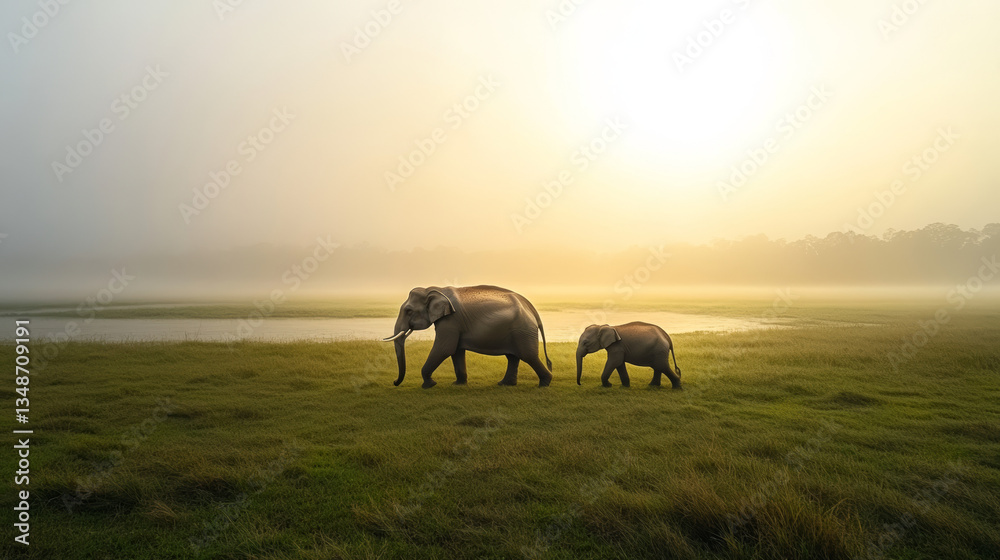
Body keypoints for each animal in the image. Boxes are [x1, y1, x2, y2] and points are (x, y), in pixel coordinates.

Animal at [382, 285, 553, 389]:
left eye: (409, 311)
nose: (394, 382)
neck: (435, 289)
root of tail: (531, 308)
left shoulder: (451, 321)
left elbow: (444, 349)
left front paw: (429, 385)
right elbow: (456, 351)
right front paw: (458, 384)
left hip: (523, 330)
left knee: (528, 356)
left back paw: (544, 384)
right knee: (512, 357)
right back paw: (504, 384)